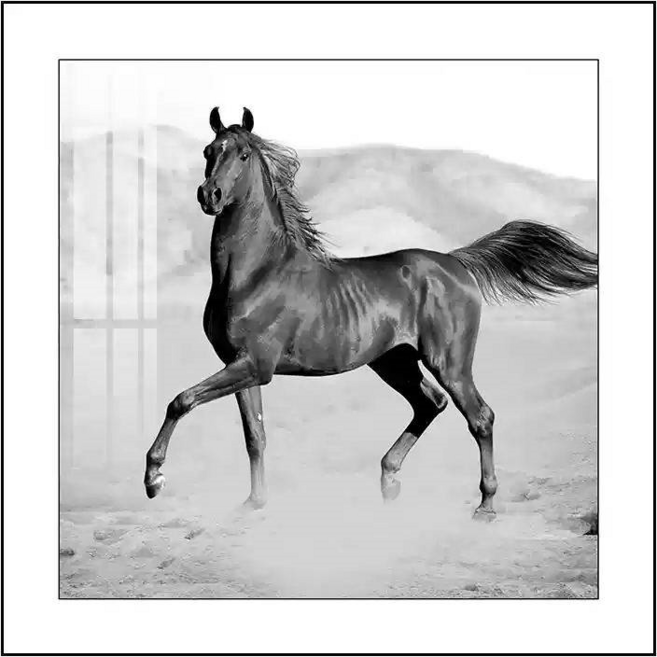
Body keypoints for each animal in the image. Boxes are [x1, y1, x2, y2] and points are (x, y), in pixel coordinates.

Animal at [144, 107, 598, 519]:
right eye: (209, 151)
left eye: (241, 154)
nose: (210, 196)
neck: (257, 273)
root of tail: (455, 262)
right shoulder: (241, 365)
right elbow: (254, 435)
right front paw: (253, 503)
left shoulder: (255, 364)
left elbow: (181, 401)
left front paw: (154, 479)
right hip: (394, 361)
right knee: (430, 403)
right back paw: (389, 480)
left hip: (448, 361)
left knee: (479, 416)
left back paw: (484, 505)